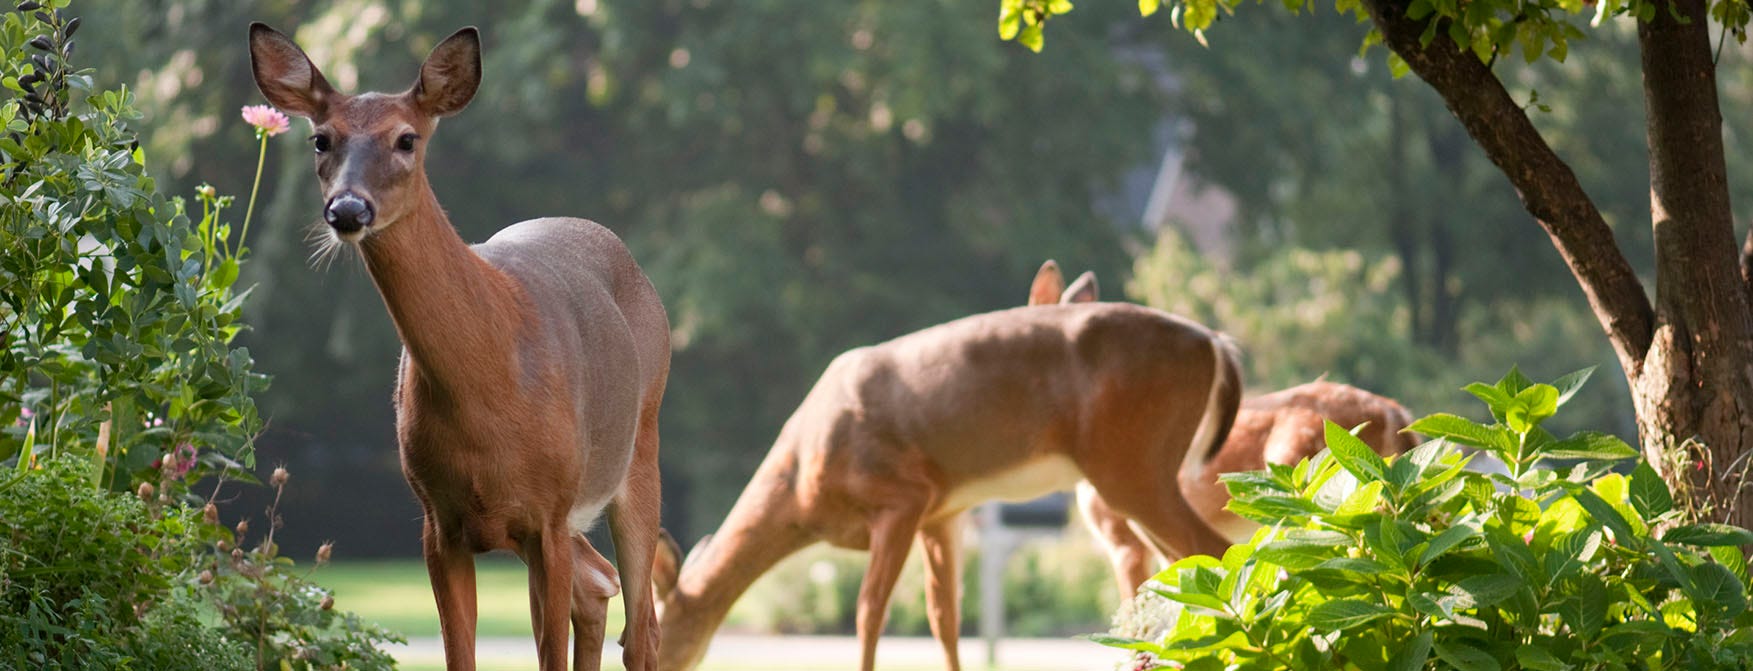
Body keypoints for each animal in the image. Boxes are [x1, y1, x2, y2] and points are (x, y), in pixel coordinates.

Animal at [254, 23, 669, 669]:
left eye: (406, 138)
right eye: (321, 139)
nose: (347, 209)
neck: (488, 388)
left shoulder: (549, 514)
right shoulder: (438, 520)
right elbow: (461, 653)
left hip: (639, 444)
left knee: (643, 623)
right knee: (598, 585)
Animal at [652, 266, 1241, 669]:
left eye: (659, 624)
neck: (801, 485)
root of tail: (1214, 342)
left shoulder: (901, 495)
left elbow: (869, 611)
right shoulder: (943, 513)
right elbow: (946, 618)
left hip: (1130, 460)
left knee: (1216, 551)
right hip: (1140, 468)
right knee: (1185, 566)